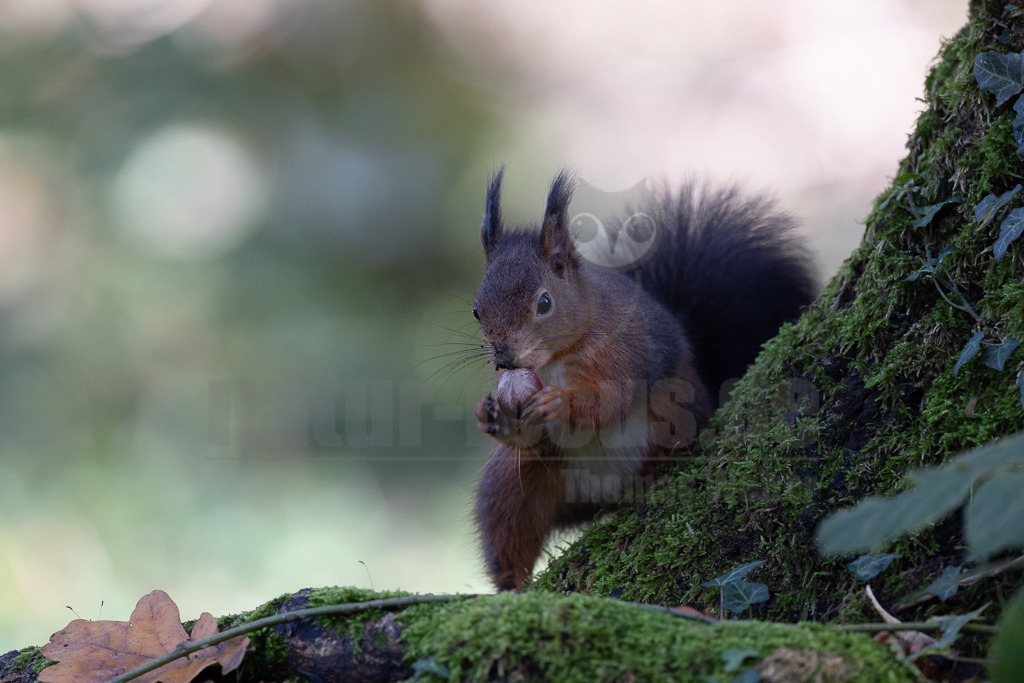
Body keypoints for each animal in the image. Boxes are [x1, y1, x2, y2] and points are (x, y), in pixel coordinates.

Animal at [471, 168, 818, 591]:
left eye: (544, 303)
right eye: (476, 310)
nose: (504, 356)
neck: (553, 360)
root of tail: (603, 494)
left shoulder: (623, 353)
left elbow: (609, 399)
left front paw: (559, 402)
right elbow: (528, 437)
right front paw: (492, 415)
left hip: (673, 417)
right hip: (518, 483)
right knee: (511, 522)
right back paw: (513, 587)